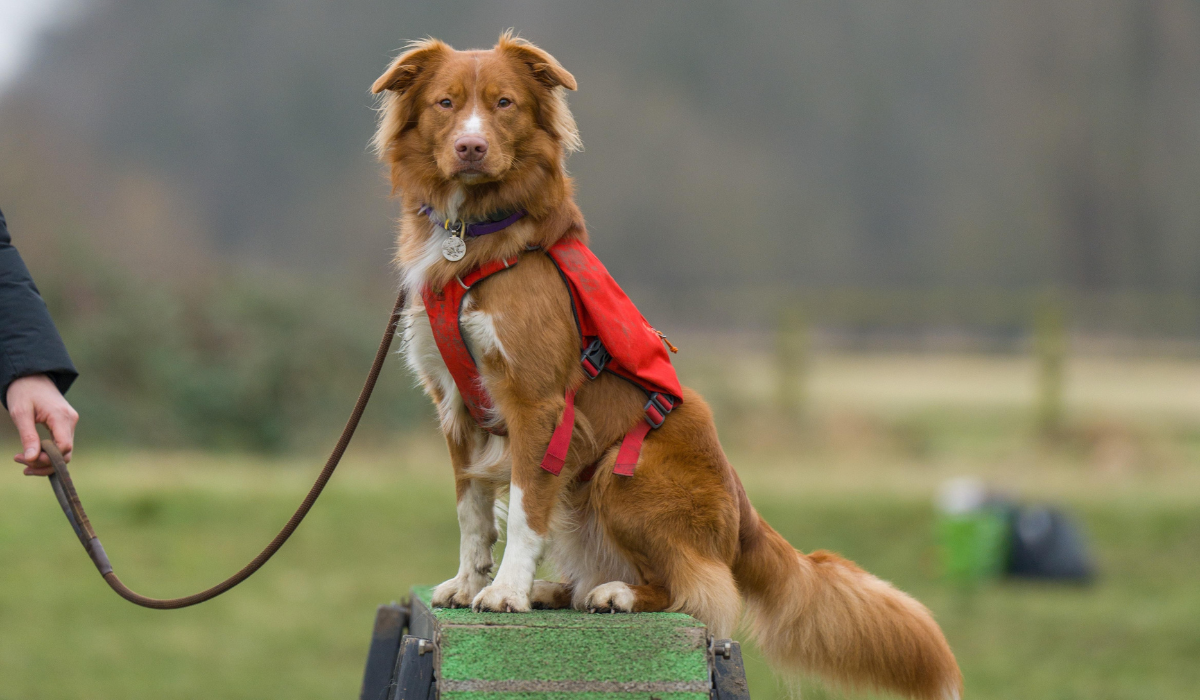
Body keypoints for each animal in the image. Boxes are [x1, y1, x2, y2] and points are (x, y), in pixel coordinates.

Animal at [369, 32, 960, 700]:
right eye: (445, 103)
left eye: (504, 103)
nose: (471, 147)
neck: (476, 233)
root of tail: (742, 511)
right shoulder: (456, 405)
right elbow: (473, 513)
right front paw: (470, 583)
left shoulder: (536, 405)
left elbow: (521, 510)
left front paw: (505, 592)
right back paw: (559, 588)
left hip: (622, 475)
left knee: (698, 591)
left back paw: (615, 593)